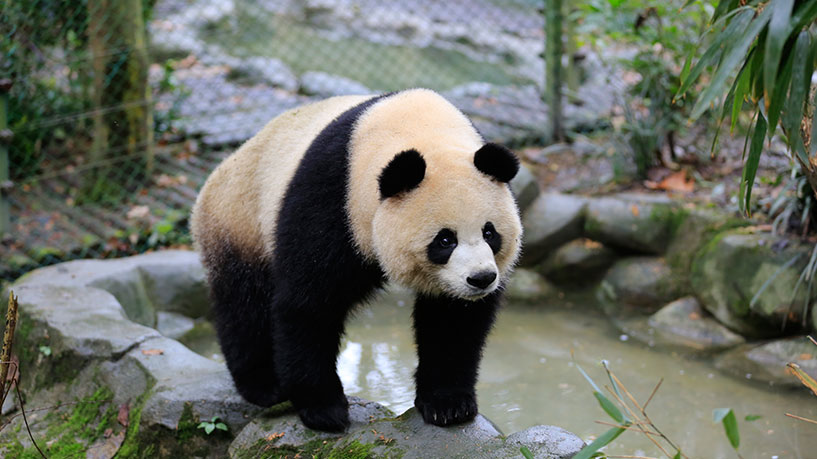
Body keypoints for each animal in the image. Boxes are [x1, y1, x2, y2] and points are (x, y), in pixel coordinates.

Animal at [191, 88, 522, 432]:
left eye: (490, 233)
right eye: (445, 240)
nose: (481, 278)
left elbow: (452, 320)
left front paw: (448, 405)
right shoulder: (332, 196)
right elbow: (308, 302)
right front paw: (324, 409)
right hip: (240, 221)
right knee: (244, 303)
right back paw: (265, 386)